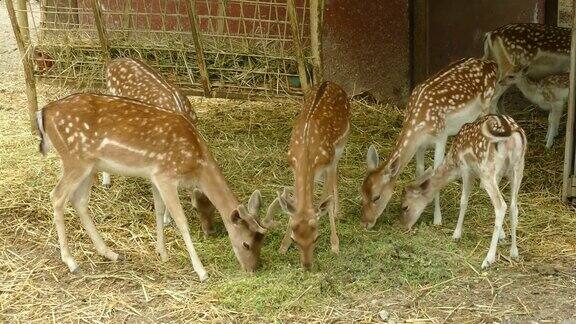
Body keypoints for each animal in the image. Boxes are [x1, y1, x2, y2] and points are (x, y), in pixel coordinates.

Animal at [36, 93, 274, 280]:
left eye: (262, 242)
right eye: (246, 243)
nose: (253, 269)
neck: (197, 163)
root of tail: (44, 112)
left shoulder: (153, 176)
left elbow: (159, 211)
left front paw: (162, 253)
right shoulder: (165, 174)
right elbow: (181, 221)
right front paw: (201, 271)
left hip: (89, 165)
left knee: (79, 200)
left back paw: (111, 253)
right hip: (75, 159)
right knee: (57, 196)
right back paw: (71, 262)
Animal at [270, 81, 352, 270]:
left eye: (317, 238)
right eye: (295, 239)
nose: (307, 265)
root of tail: (330, 82)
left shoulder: (327, 164)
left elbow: (325, 201)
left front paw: (335, 245)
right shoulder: (294, 167)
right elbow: (295, 201)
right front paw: (282, 246)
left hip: (341, 144)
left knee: (335, 175)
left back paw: (338, 212)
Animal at [362, 58, 498, 230]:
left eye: (376, 197)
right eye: (361, 193)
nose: (365, 223)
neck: (418, 123)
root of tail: (491, 63)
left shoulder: (441, 136)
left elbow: (435, 169)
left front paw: (437, 219)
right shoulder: (420, 145)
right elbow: (420, 170)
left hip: (487, 102)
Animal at [400, 114, 528, 268]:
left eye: (405, 206)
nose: (404, 226)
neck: (453, 160)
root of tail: (513, 134)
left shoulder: (466, 169)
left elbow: (463, 201)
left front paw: (456, 234)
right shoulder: (496, 175)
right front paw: (502, 236)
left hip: (488, 169)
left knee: (501, 205)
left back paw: (488, 259)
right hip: (518, 168)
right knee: (514, 206)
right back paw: (514, 252)